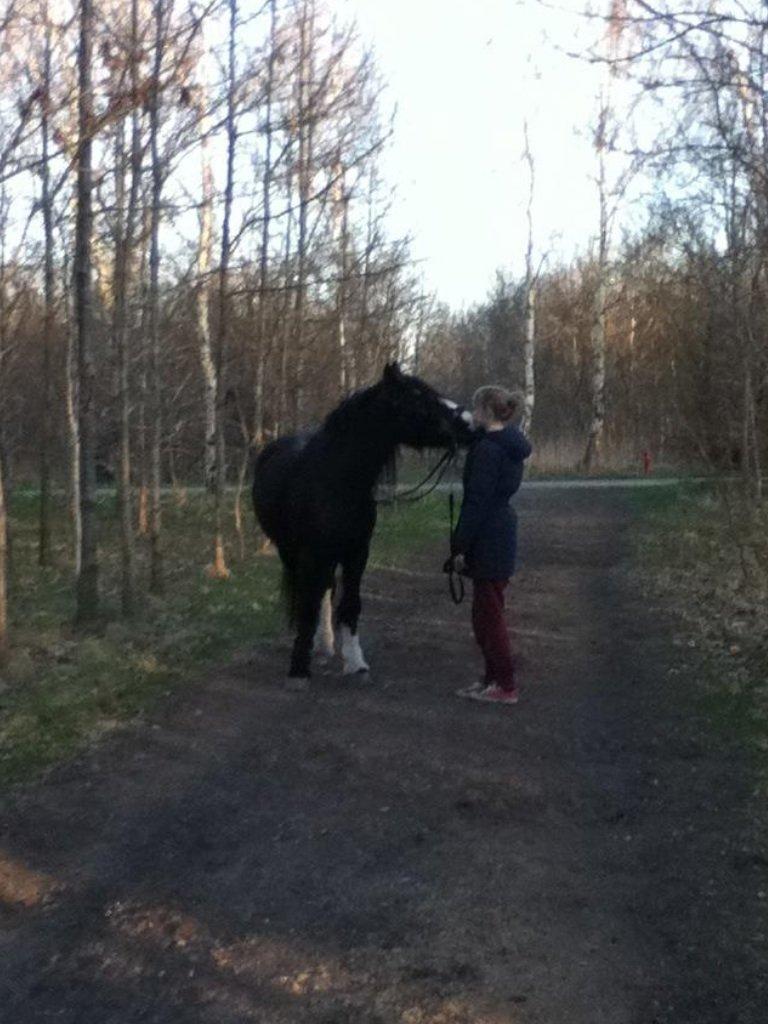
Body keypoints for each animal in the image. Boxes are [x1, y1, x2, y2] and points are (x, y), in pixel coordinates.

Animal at [253, 360, 475, 679]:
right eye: (418, 399)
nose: (469, 423)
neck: (338, 481)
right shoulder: (310, 553)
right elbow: (307, 604)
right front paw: (299, 667)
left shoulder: (357, 552)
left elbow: (350, 603)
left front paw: (355, 662)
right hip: (290, 551)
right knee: (310, 592)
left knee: (325, 589)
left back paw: (325, 644)